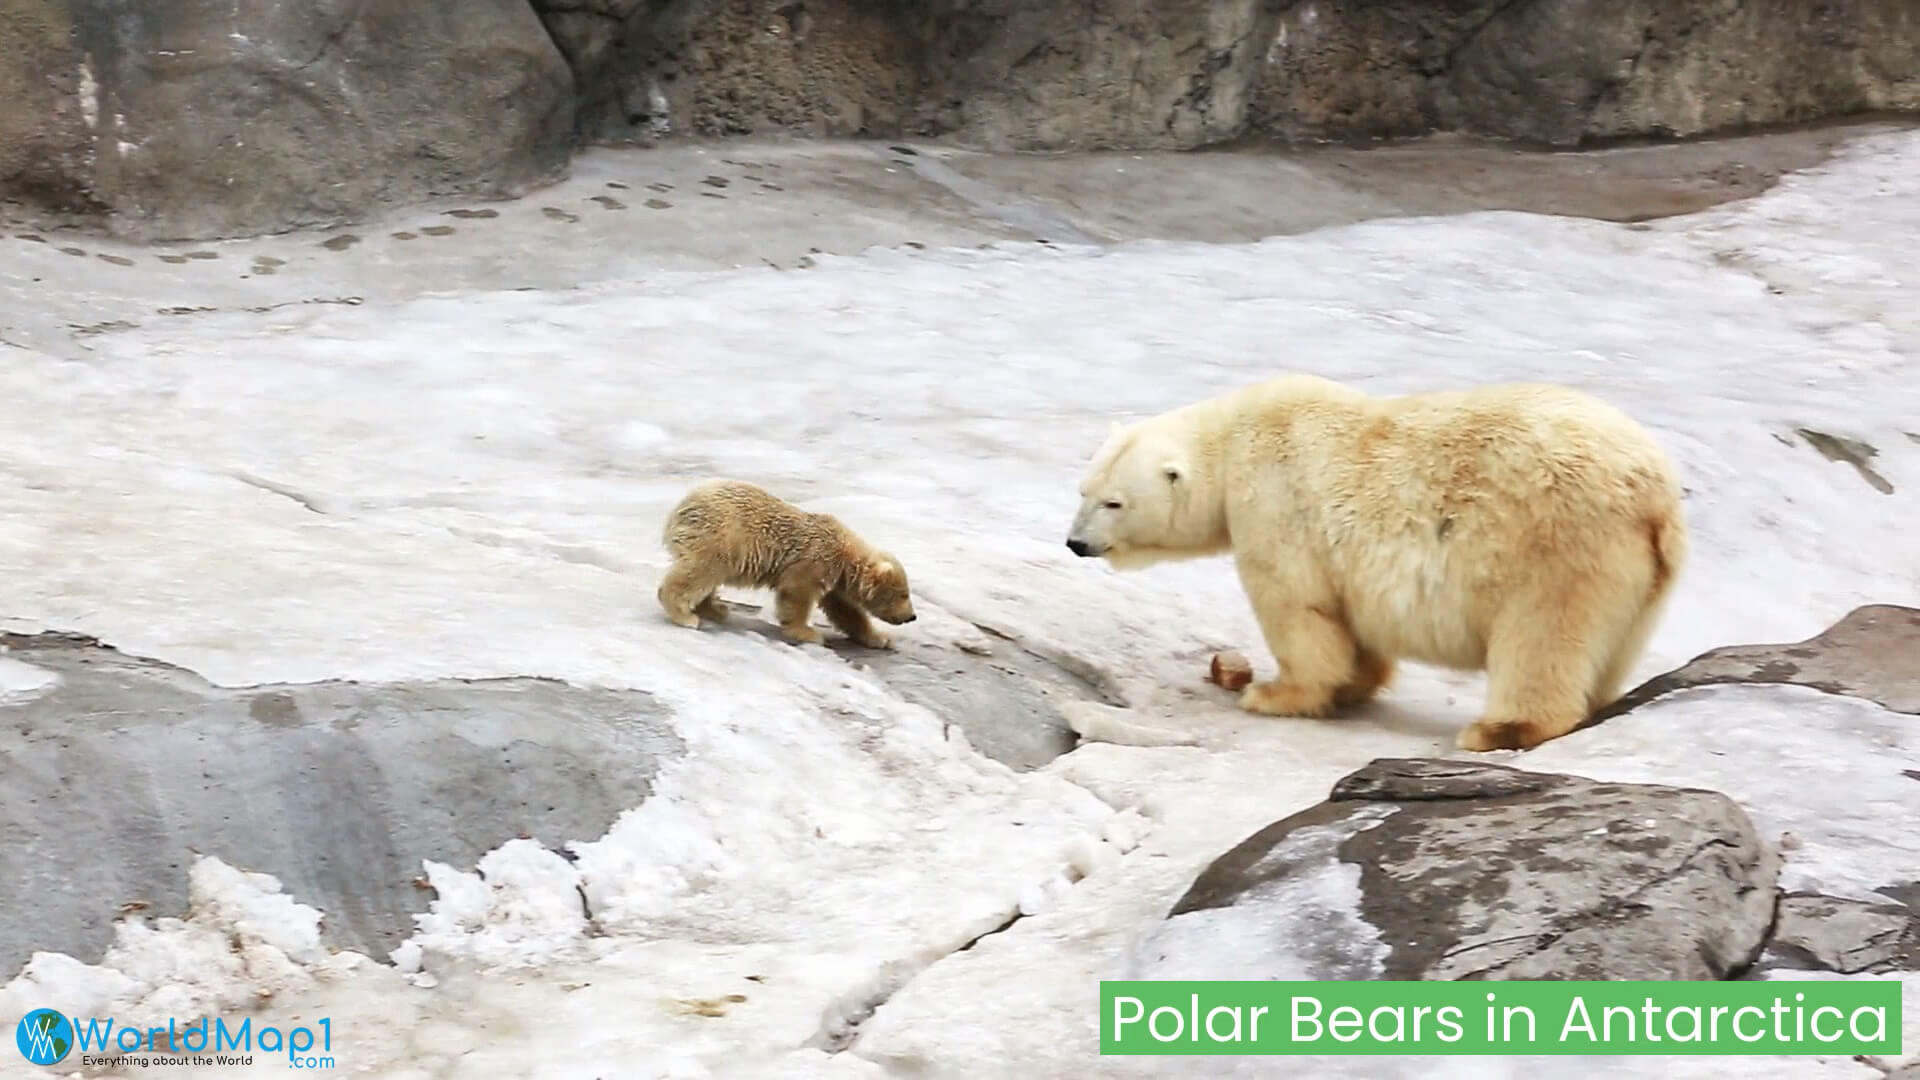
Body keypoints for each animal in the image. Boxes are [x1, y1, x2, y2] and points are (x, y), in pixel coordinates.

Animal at [656, 478, 917, 645]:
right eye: (903, 594)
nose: (911, 616)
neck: (844, 553)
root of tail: (679, 509)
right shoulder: (814, 561)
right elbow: (796, 594)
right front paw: (808, 633)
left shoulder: (834, 579)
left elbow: (845, 610)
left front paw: (880, 638)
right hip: (722, 536)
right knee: (699, 572)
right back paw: (685, 615)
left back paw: (715, 609)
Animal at [1075, 374, 1689, 753]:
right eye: (1084, 490)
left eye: (1114, 502)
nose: (1075, 543)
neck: (1235, 437)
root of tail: (1654, 498)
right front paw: (1351, 685)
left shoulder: (1274, 501)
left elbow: (1298, 608)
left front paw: (1274, 695)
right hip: (1641, 581)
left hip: (1558, 545)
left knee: (1541, 637)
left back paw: (1498, 729)